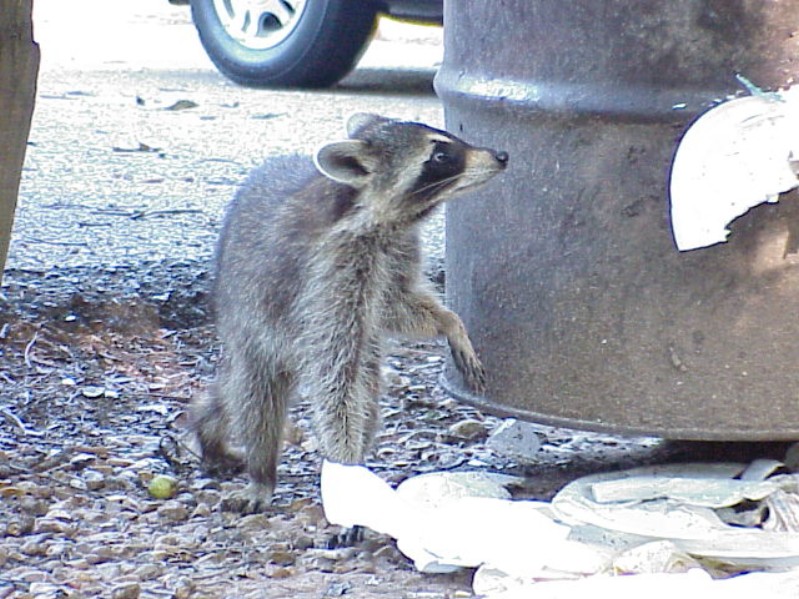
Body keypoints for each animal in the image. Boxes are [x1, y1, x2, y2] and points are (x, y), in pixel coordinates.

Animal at [191, 115, 510, 512]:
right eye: (440, 155)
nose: (501, 155)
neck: (370, 215)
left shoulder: (394, 253)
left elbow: (394, 307)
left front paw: (449, 322)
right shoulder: (327, 278)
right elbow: (334, 379)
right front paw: (343, 464)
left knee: (365, 396)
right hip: (250, 323)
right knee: (255, 397)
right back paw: (260, 470)